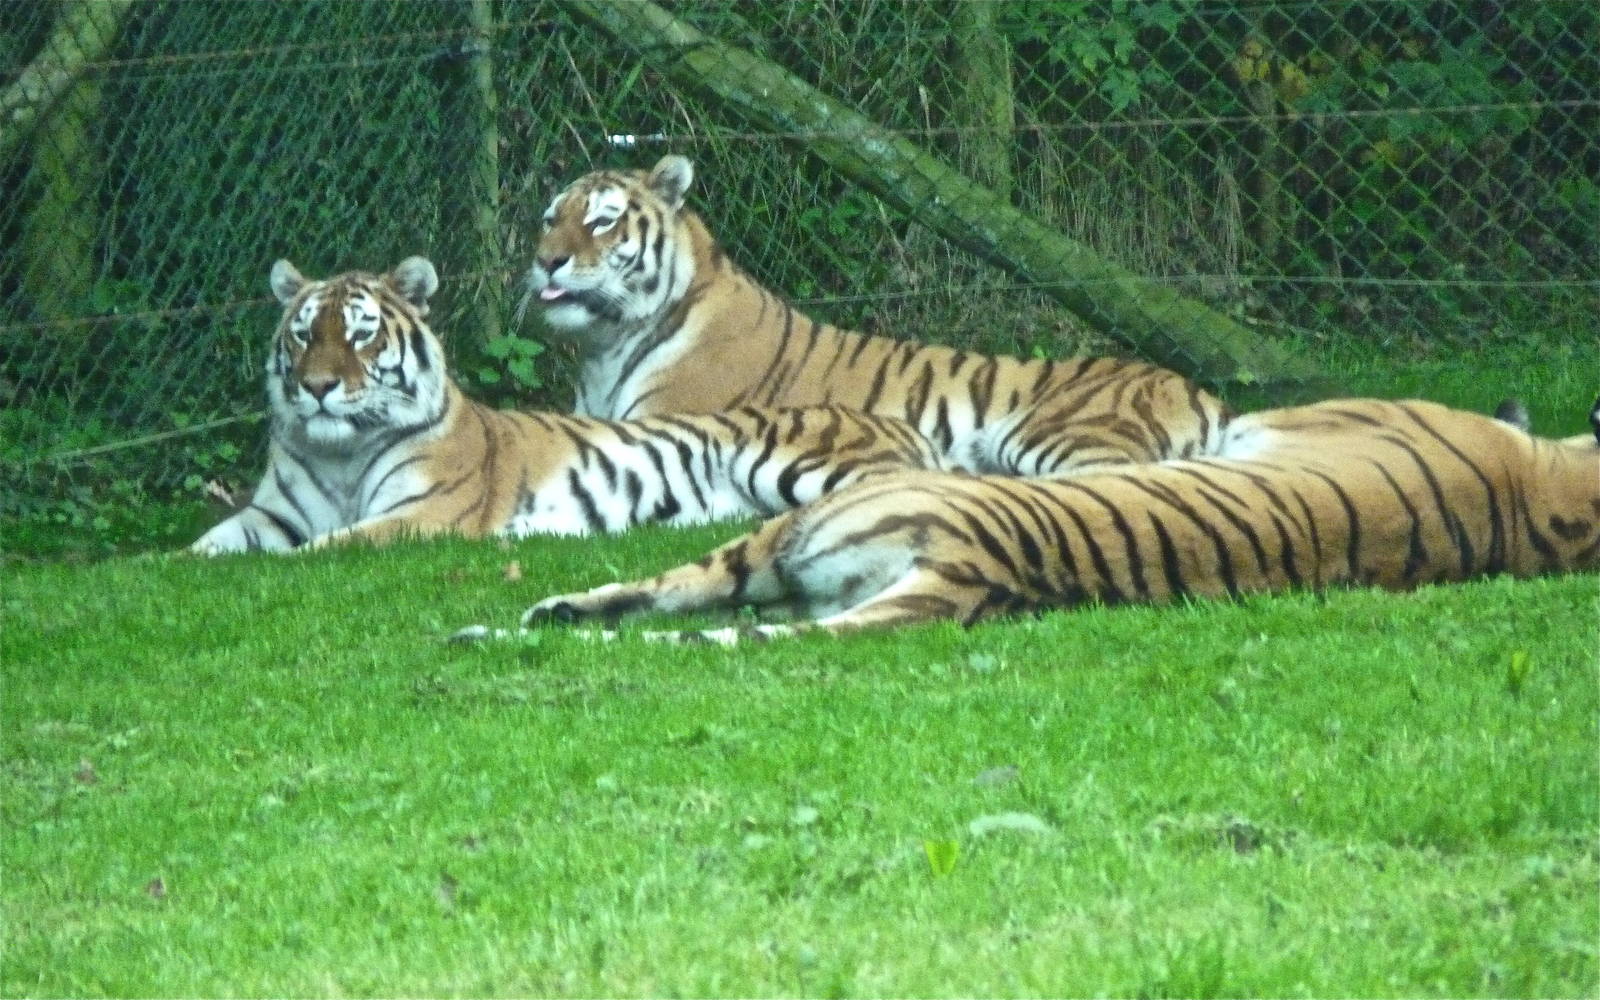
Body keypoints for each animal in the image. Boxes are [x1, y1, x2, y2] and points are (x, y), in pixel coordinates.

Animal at [189, 256, 942, 554]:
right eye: (303, 334)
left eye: (359, 334)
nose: (317, 386)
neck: (339, 451)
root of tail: (891, 419)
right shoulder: (268, 514)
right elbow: (201, 548)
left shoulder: (422, 513)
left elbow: (322, 547)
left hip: (793, 465)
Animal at [523, 154, 1232, 476]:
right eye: (550, 218)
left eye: (602, 221)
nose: (545, 261)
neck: (605, 346)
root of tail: (1201, 392)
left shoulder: (661, 422)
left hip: (1055, 433)